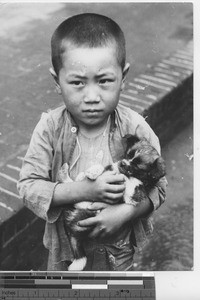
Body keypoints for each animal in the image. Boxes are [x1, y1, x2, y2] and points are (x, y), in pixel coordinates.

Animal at [58, 135, 166, 270]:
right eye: (128, 154)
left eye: (137, 166)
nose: (122, 163)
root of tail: (73, 232)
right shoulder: (111, 168)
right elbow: (105, 167)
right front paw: (93, 171)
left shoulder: (136, 195)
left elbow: (131, 184)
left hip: (87, 216)